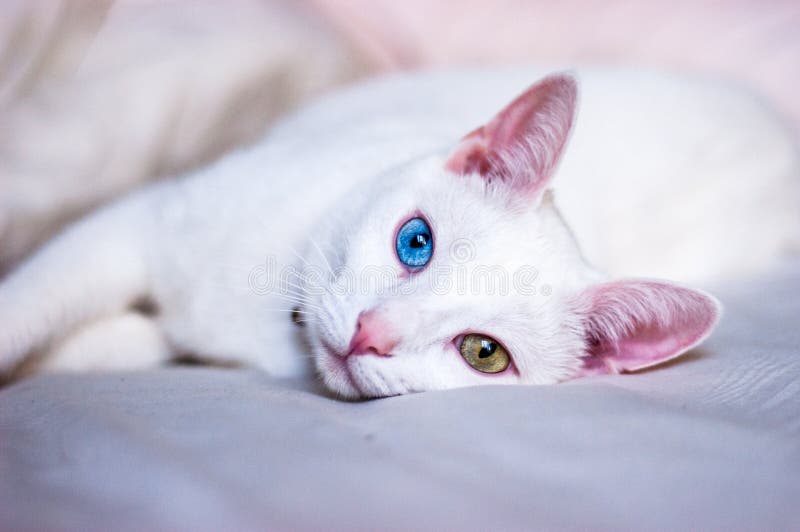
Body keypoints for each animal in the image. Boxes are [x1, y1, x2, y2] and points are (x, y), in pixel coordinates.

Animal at [1, 68, 800, 396]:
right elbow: (32, 302)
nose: (370, 333)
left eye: (483, 353)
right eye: (417, 242)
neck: (272, 324)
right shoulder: (135, 224)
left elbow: (100, 344)